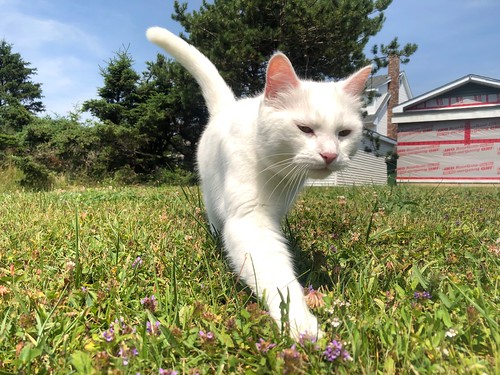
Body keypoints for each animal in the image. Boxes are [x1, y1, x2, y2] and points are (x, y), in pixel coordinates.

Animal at [146, 27, 370, 340]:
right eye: (304, 129)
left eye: (344, 133)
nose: (330, 155)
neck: (274, 172)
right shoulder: (249, 220)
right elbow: (276, 275)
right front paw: (299, 322)